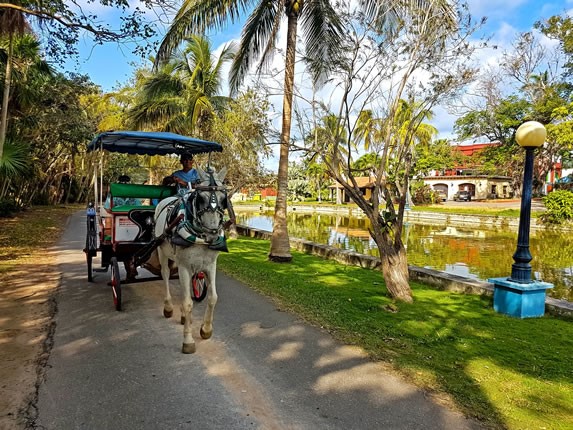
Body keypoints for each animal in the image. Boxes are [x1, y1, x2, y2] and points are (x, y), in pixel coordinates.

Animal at [156, 165, 230, 352]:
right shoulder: (184, 266)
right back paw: (168, 307)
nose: (213, 233)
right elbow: (188, 303)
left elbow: (212, 297)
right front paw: (188, 340)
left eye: (223, 198)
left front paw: (206, 329)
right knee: (165, 274)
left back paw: (183, 316)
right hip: (162, 251)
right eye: (201, 198)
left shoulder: (210, 265)